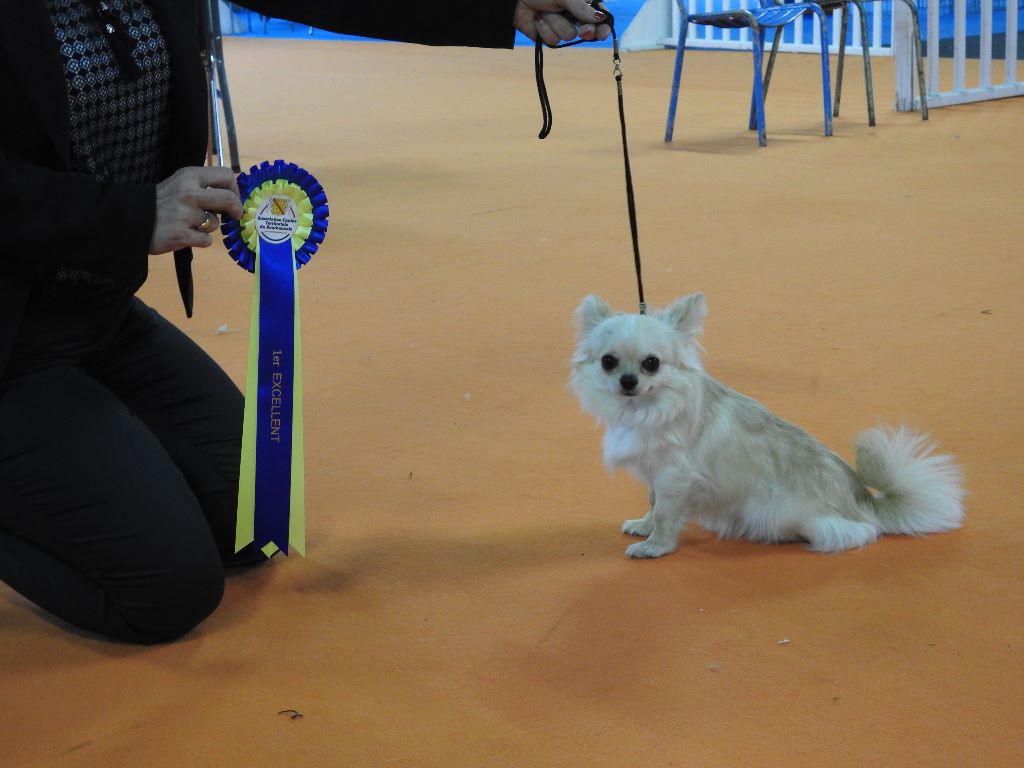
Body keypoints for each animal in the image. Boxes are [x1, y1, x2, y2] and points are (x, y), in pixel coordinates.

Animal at [573, 294, 962, 561]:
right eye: (608, 362)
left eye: (651, 363)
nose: (627, 380)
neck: (645, 410)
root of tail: (865, 501)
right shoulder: (657, 474)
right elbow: (653, 505)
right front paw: (644, 526)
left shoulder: (675, 478)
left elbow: (667, 515)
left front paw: (655, 545)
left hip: (788, 514)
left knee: (855, 532)